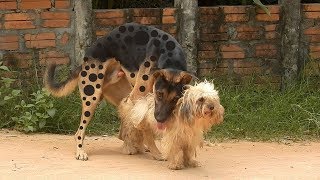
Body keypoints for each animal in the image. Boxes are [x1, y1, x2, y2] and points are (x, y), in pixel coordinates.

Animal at [43, 22, 191, 160]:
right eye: (159, 94)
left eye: (175, 98)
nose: (160, 119)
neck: (169, 56)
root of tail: (86, 59)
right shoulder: (139, 98)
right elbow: (145, 128)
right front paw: (156, 153)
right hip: (93, 98)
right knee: (79, 133)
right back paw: (81, 151)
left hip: (124, 98)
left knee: (122, 131)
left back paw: (133, 146)